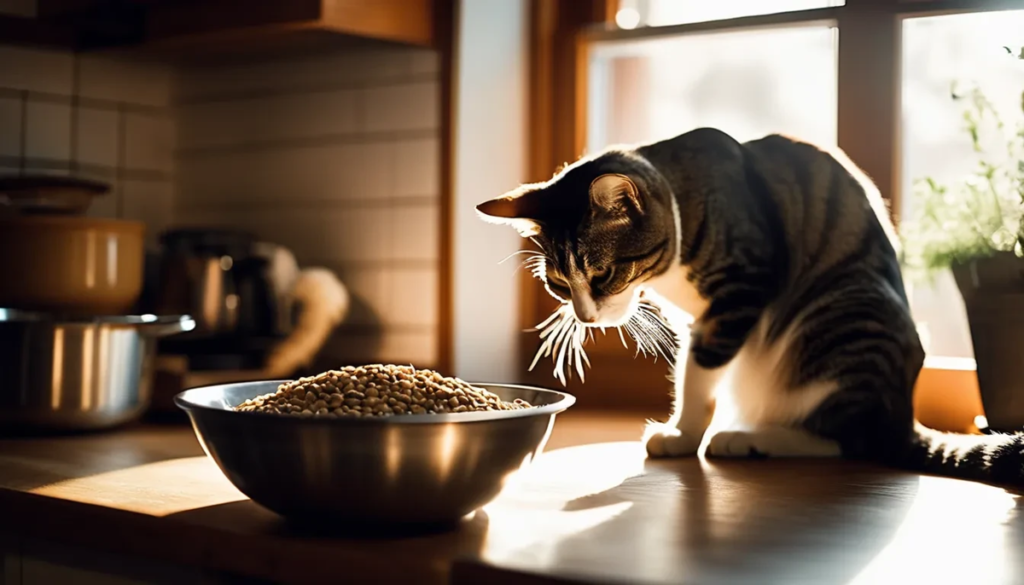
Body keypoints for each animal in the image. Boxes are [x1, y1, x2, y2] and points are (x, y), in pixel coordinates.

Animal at [475, 127, 1024, 485]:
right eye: (559, 285)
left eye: (602, 274)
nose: (587, 316)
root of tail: (902, 409)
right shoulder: (697, 319)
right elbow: (687, 371)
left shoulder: (742, 290)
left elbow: (699, 377)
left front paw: (682, 436)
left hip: (845, 313)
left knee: (852, 436)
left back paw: (749, 439)